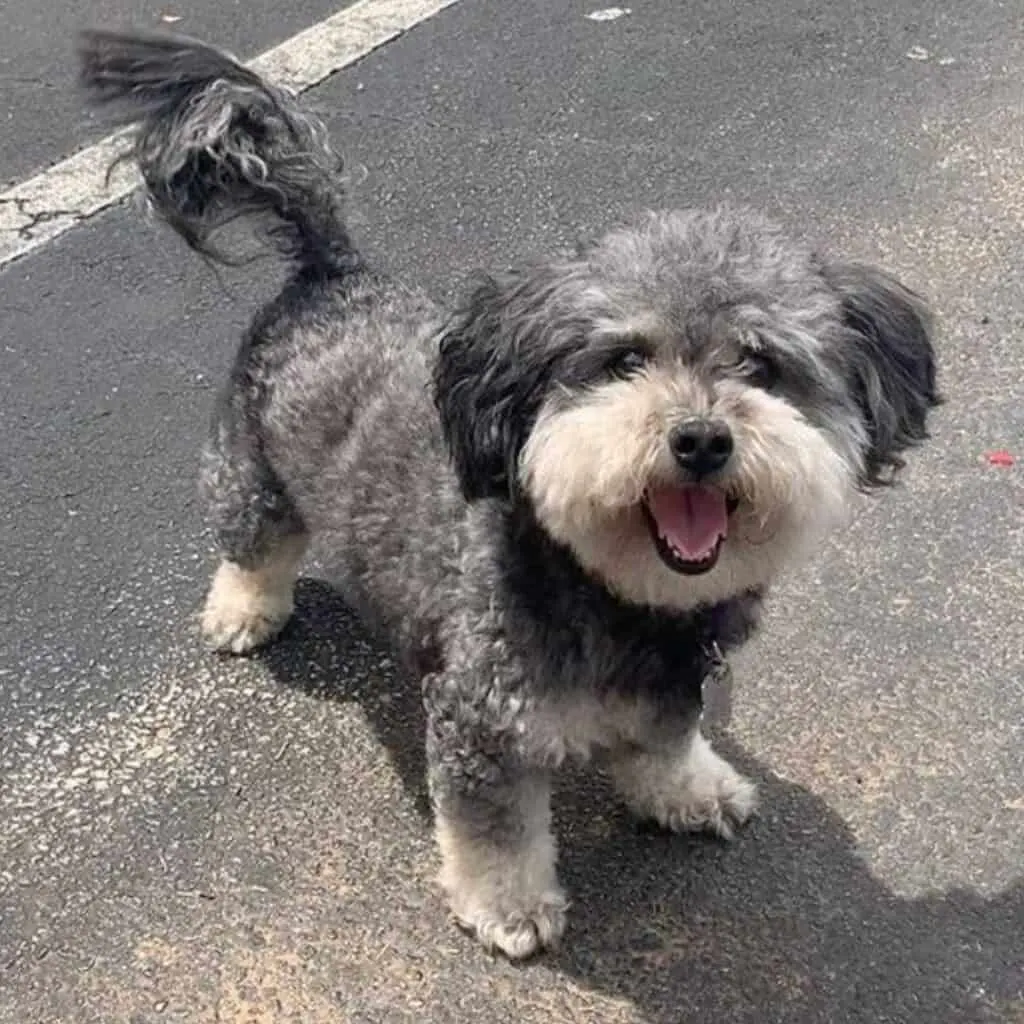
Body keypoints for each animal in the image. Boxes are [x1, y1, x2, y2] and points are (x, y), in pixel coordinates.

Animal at [81, 32, 942, 958]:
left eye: (759, 362)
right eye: (624, 360)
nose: (702, 439)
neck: (613, 592)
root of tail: (331, 272)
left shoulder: (674, 681)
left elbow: (665, 742)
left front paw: (688, 787)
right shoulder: (480, 716)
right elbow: (493, 829)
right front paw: (509, 903)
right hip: (250, 471)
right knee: (252, 543)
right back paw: (244, 608)